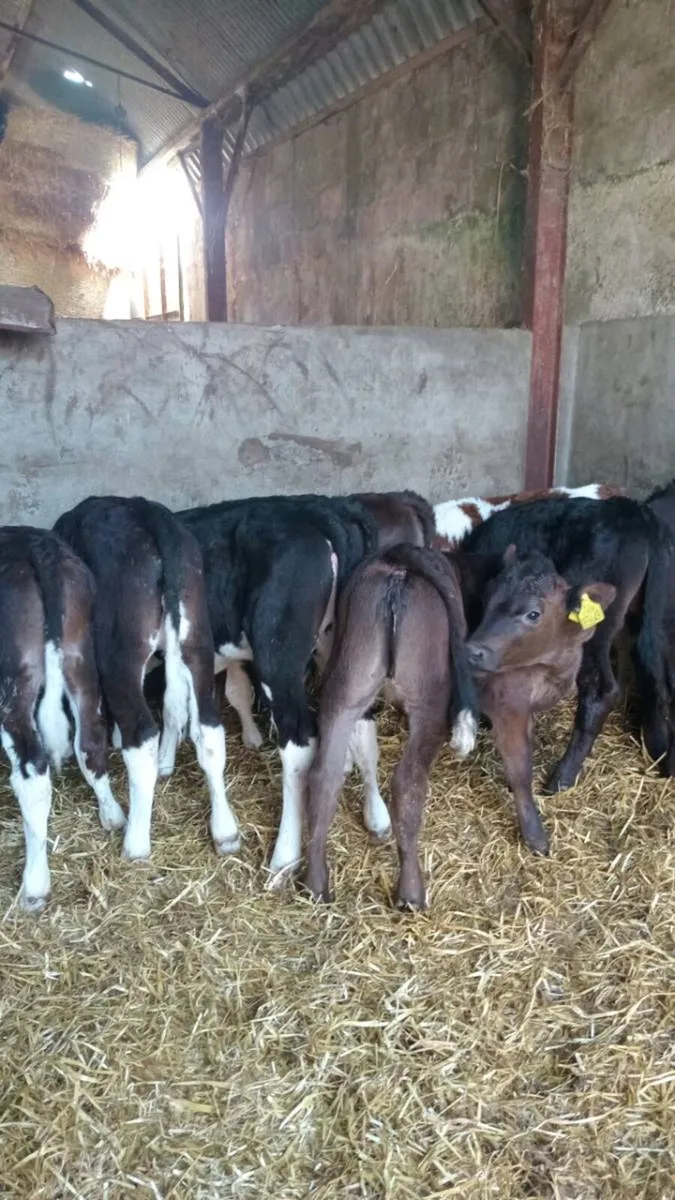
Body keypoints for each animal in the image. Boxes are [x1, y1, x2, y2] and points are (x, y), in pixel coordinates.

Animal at [0, 527, 124, 910]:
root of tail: (34, 551)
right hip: (79, 656)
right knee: (90, 742)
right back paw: (113, 814)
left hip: (14, 680)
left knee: (32, 772)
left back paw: (35, 883)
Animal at [54, 497, 238, 863]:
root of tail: (148, 514)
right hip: (197, 640)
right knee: (208, 728)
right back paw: (225, 831)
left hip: (120, 652)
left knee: (141, 737)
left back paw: (136, 842)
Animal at [176, 493, 381, 880]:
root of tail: (321, 511)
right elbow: (233, 692)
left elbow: (206, 741)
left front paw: (224, 831)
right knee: (361, 718)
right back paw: (377, 815)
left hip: (278, 656)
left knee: (298, 742)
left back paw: (284, 857)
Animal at [303, 545, 478, 910]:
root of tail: (399, 562)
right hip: (429, 697)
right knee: (407, 782)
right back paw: (411, 893)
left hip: (347, 682)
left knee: (324, 775)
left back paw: (316, 884)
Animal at [461, 495, 671, 793]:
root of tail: (633, 511)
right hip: (653, 615)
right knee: (655, 678)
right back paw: (662, 759)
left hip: (593, 630)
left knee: (600, 691)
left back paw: (561, 779)